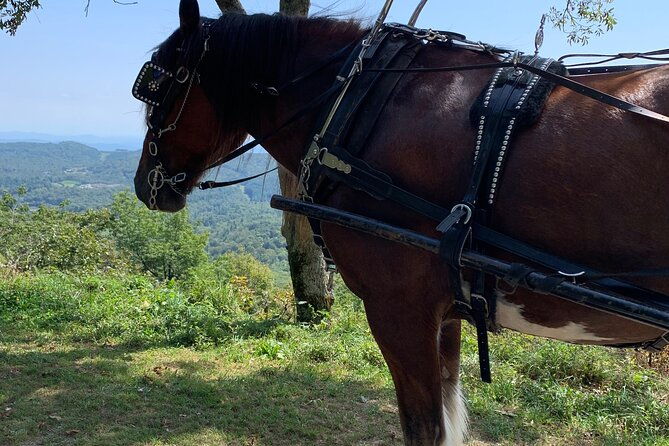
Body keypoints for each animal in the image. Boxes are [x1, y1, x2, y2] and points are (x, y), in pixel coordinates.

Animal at [133, 1, 669, 444]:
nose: (144, 184)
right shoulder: (447, 309)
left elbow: (424, 427)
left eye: (157, 91)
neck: (357, 99)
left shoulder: (399, 308)